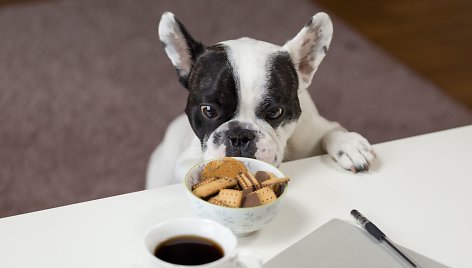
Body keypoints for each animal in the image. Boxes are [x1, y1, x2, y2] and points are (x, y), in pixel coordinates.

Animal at [146, 11, 374, 187]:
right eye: (208, 110)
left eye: (274, 112)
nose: (239, 136)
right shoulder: (184, 161)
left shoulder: (316, 129)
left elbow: (332, 132)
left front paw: (349, 144)